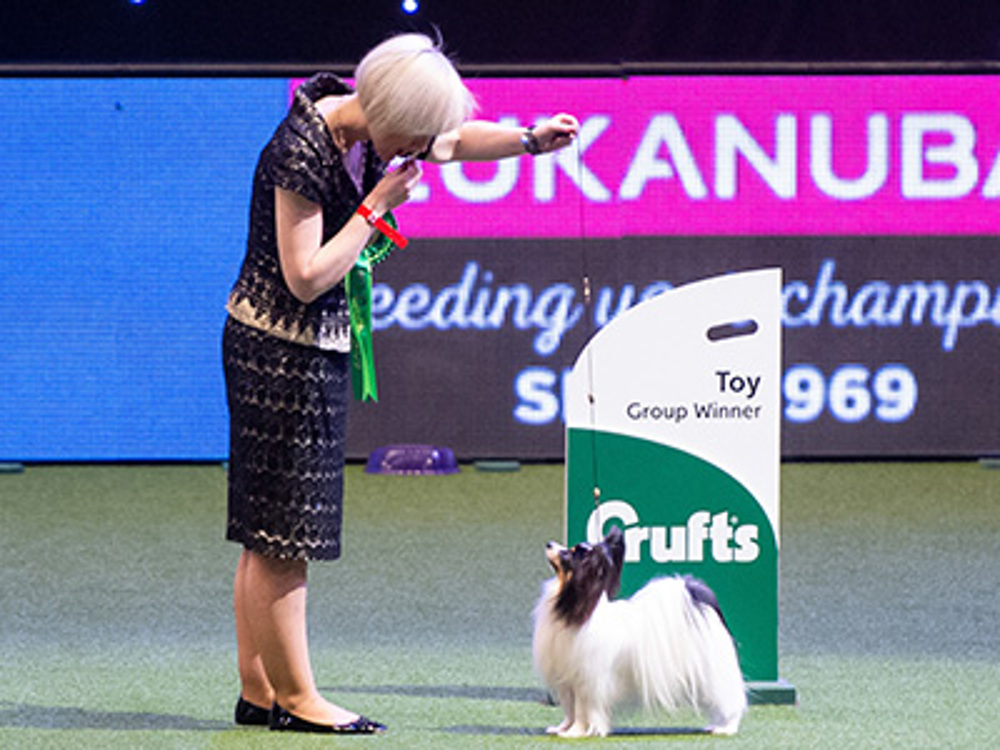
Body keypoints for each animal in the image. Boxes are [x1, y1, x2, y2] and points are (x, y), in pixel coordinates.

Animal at [536, 528, 748, 740]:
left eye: (570, 554)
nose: (548, 543)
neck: (577, 607)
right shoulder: (568, 680)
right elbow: (570, 710)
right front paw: (562, 728)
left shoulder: (585, 680)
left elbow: (580, 710)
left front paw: (576, 732)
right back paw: (714, 725)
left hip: (713, 676)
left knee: (730, 701)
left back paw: (726, 728)